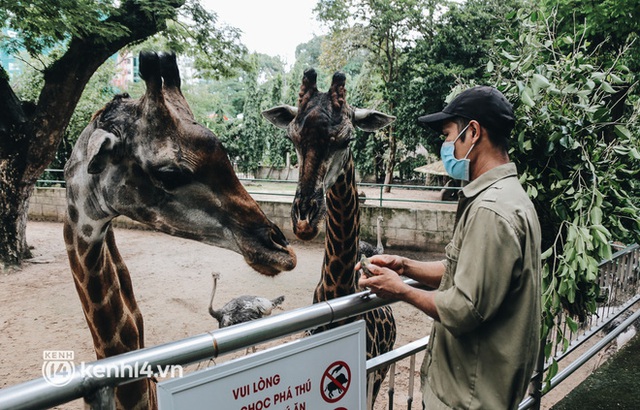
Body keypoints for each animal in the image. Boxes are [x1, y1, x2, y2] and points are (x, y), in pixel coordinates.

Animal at [264, 69, 396, 406]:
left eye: (347, 139)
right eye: (292, 138)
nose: (304, 220)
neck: (336, 292)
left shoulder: (366, 378)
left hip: (382, 372)